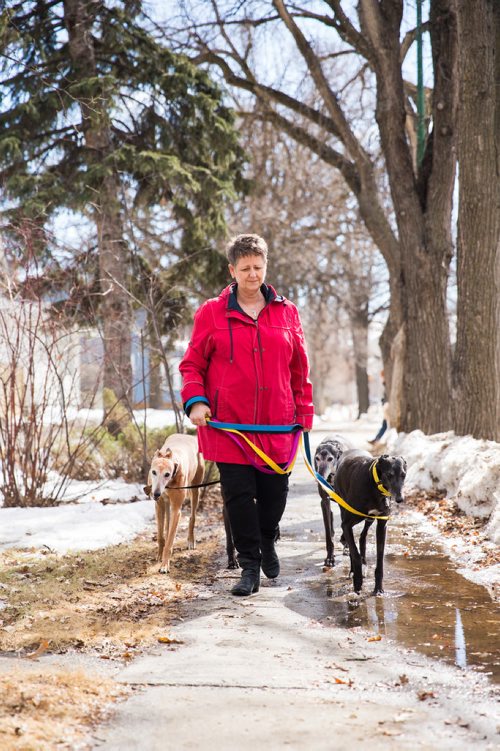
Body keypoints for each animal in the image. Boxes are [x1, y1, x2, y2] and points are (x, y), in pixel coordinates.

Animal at [314, 438, 354, 568]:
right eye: (317, 458)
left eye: (330, 459)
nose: (320, 476)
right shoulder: (324, 501)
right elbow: (328, 532)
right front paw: (330, 558)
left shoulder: (345, 502)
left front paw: (346, 543)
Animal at [332, 450, 406, 596]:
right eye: (389, 475)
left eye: (403, 474)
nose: (400, 499)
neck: (374, 484)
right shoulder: (346, 525)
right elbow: (354, 553)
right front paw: (357, 582)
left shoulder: (382, 525)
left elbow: (380, 558)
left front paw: (378, 589)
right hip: (343, 508)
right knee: (353, 543)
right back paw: (353, 571)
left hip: (369, 518)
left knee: (362, 536)